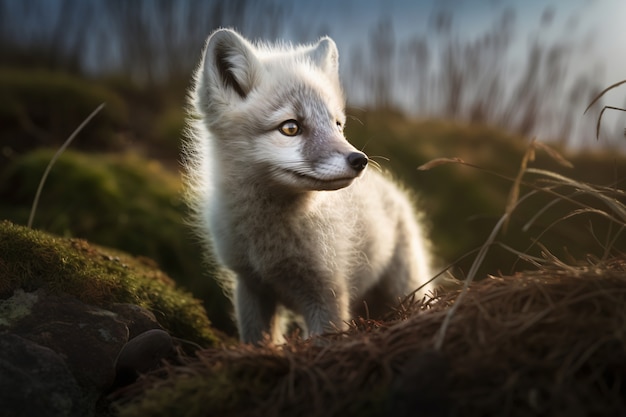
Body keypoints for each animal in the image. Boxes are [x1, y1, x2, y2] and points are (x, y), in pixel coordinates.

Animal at [183, 27, 432, 342]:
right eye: (290, 128)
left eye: (337, 125)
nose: (360, 160)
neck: (269, 245)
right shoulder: (252, 286)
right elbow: (258, 341)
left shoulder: (327, 294)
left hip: (406, 287)